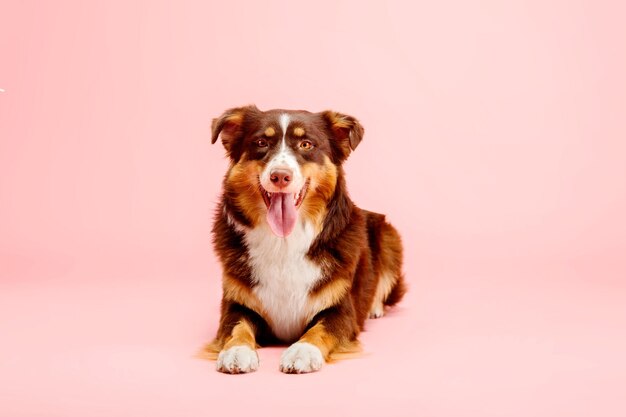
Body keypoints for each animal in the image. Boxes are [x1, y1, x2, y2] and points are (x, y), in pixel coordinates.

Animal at [205, 105, 404, 372]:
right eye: (261, 142)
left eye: (306, 144)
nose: (280, 176)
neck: (283, 242)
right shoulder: (237, 304)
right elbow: (236, 328)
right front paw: (236, 351)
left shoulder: (340, 309)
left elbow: (320, 329)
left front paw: (303, 351)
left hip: (390, 237)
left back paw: (374, 307)